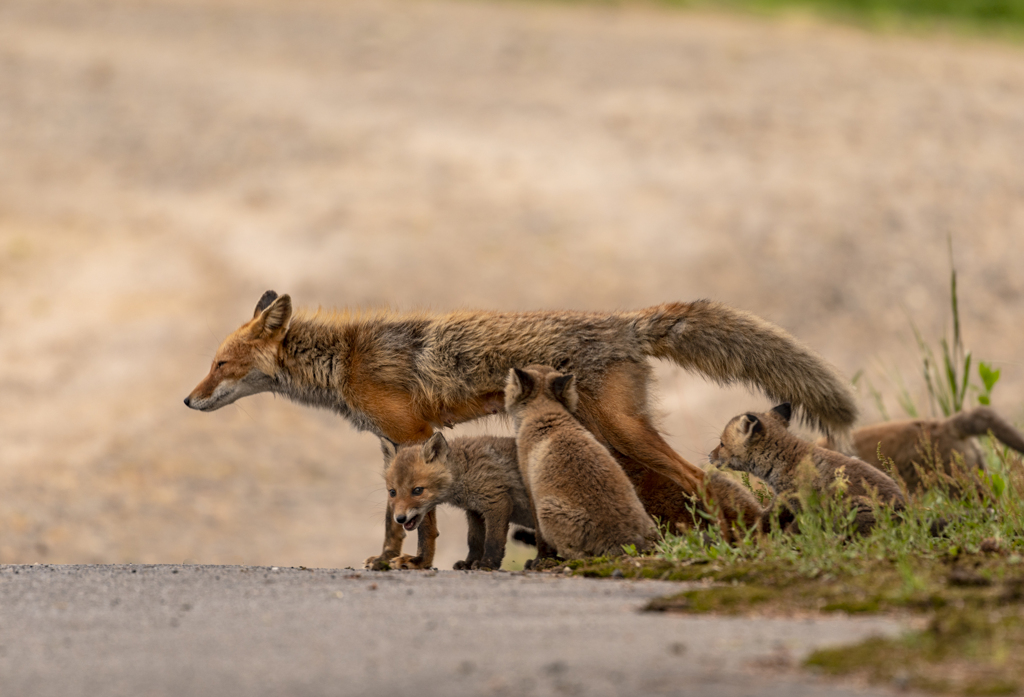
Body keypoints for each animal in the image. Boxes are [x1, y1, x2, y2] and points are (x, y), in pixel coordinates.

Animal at [184, 290, 856, 540]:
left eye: (220, 364)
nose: (187, 401)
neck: (344, 360)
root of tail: (624, 322)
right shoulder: (399, 441)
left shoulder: (415, 434)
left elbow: (420, 518)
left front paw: (414, 561)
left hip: (623, 431)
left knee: (699, 478)